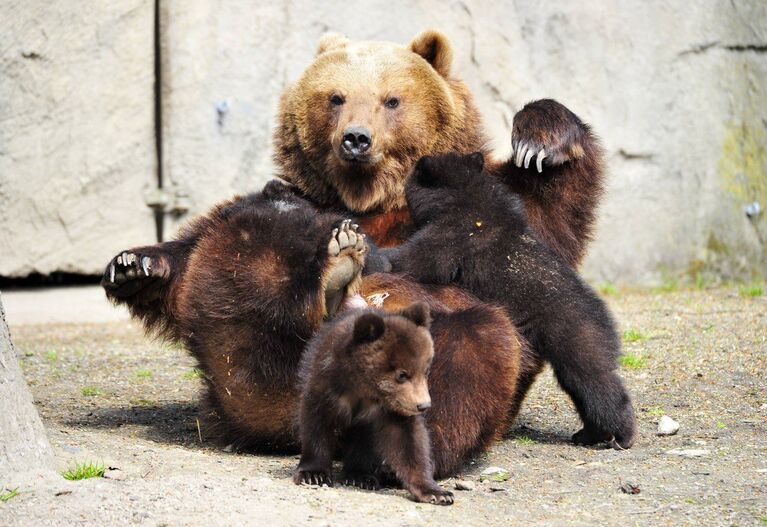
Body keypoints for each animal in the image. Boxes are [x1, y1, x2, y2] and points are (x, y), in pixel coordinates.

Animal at [105, 31, 640, 476]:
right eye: (336, 96)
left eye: (392, 99)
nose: (356, 138)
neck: (371, 198)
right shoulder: (302, 196)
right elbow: (203, 236)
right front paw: (133, 264)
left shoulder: (498, 219)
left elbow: (547, 211)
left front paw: (540, 140)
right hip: (251, 388)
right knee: (241, 255)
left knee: (475, 347)